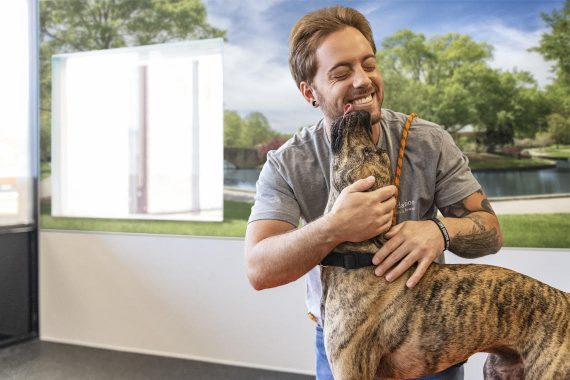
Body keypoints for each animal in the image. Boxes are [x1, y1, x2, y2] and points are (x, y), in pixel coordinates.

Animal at [320, 109, 568, 378]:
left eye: (369, 152)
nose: (363, 113)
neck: (363, 253)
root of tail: (564, 299)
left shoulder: (349, 368)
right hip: (498, 369)